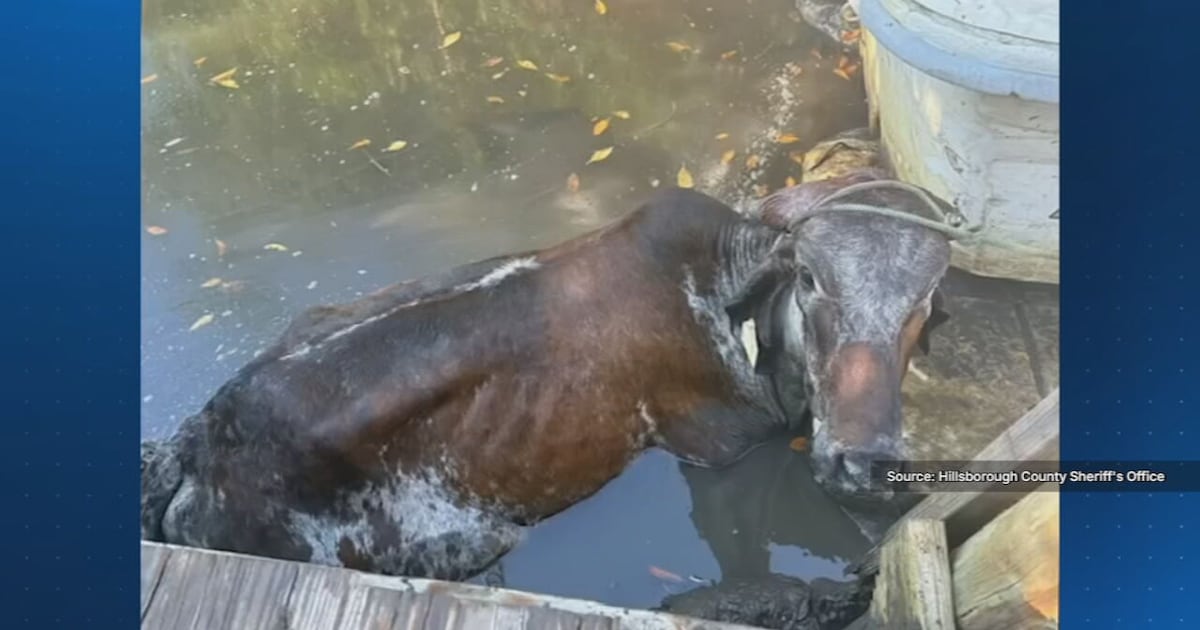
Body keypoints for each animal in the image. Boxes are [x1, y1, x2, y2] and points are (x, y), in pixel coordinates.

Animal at [141, 183, 952, 581]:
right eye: (810, 279)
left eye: (925, 297)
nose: (864, 460)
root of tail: (202, 442)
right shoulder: (721, 452)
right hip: (475, 541)